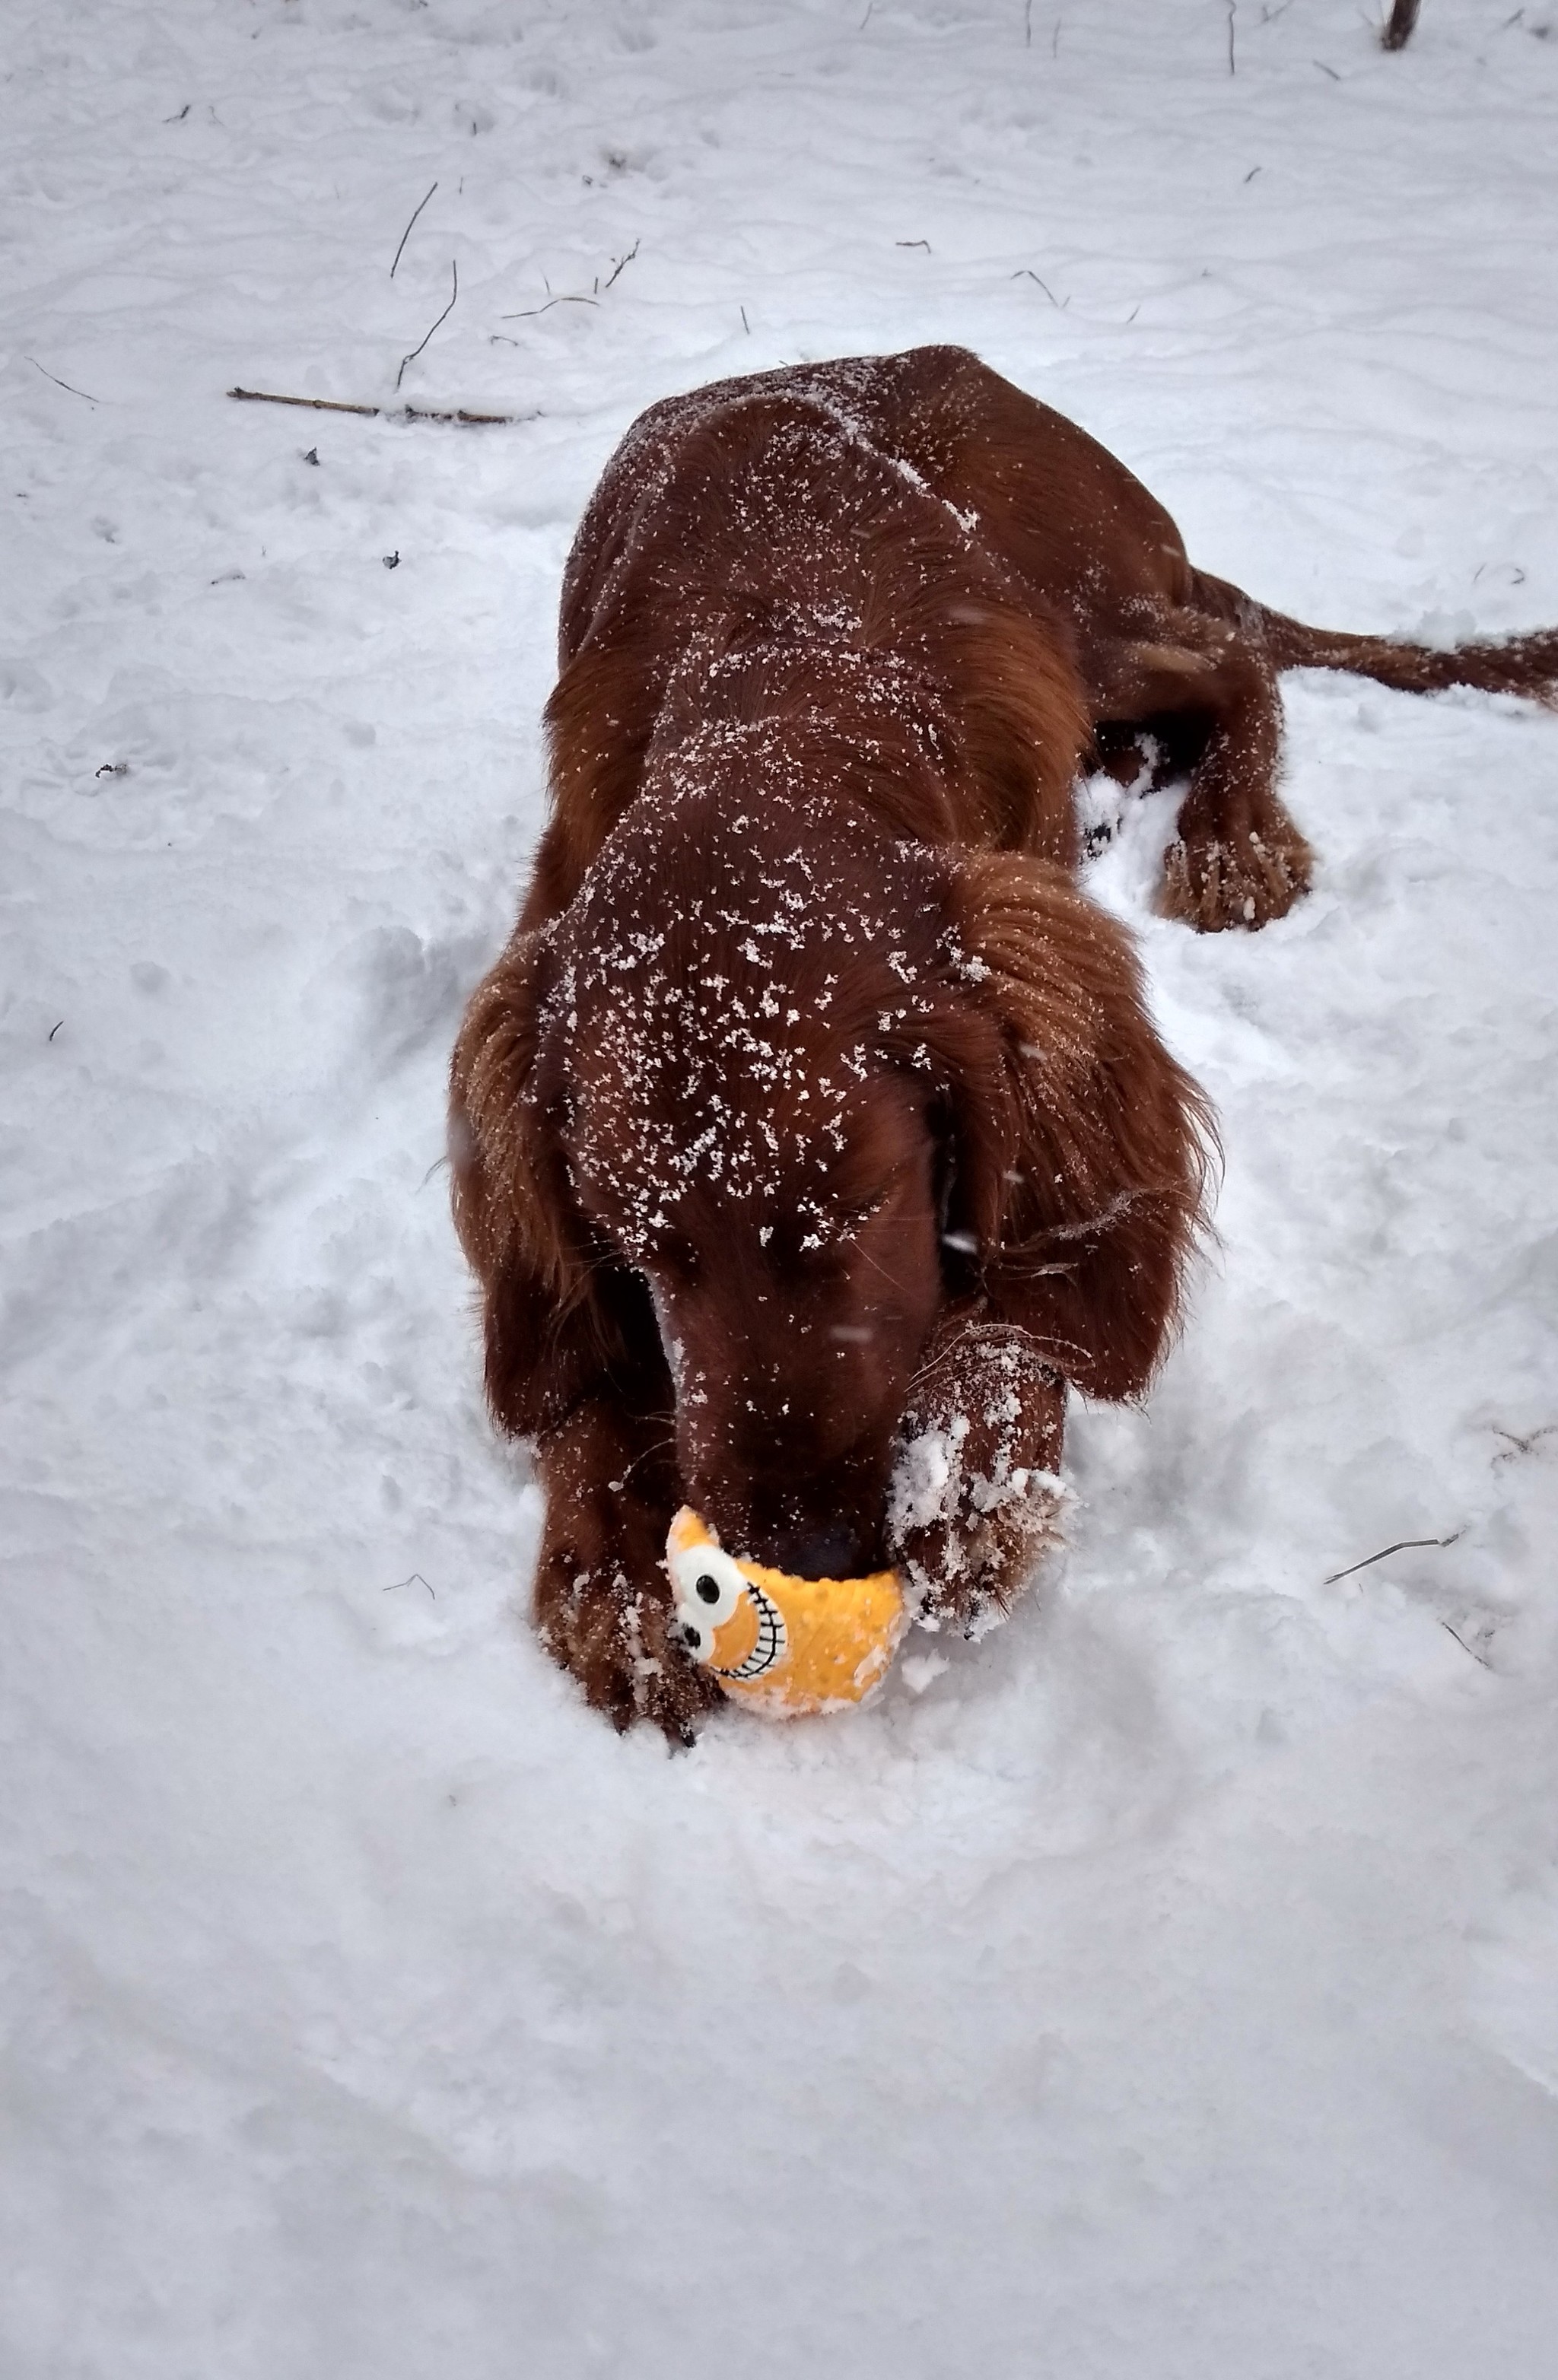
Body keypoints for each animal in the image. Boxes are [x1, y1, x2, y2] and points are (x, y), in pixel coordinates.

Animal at [454, 345, 1558, 1742]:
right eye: (640, 1245)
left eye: (860, 1200)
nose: (800, 1553)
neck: (785, 683)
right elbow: (580, 1365)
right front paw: (610, 1565)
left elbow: (1024, 1273)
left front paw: (975, 1462)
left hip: (1082, 614)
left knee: (1232, 658)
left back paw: (1228, 834)